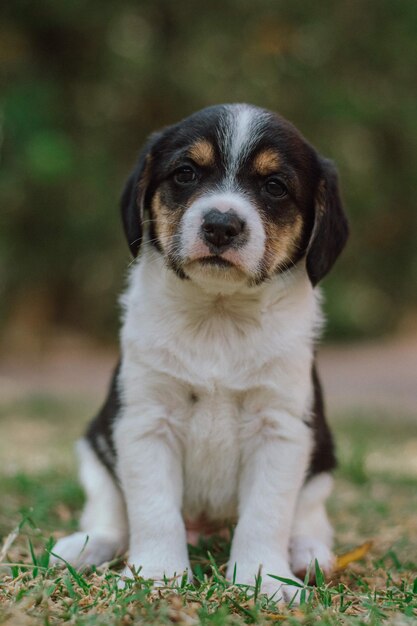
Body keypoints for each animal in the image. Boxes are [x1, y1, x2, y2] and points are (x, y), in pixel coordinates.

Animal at [52, 101, 348, 596]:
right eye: (186, 174)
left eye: (274, 186)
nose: (221, 225)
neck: (219, 316)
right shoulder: (145, 422)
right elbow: (154, 512)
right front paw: (155, 575)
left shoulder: (281, 429)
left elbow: (265, 515)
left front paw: (264, 579)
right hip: (95, 448)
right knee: (112, 516)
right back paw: (86, 547)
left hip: (321, 461)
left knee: (307, 517)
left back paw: (308, 553)